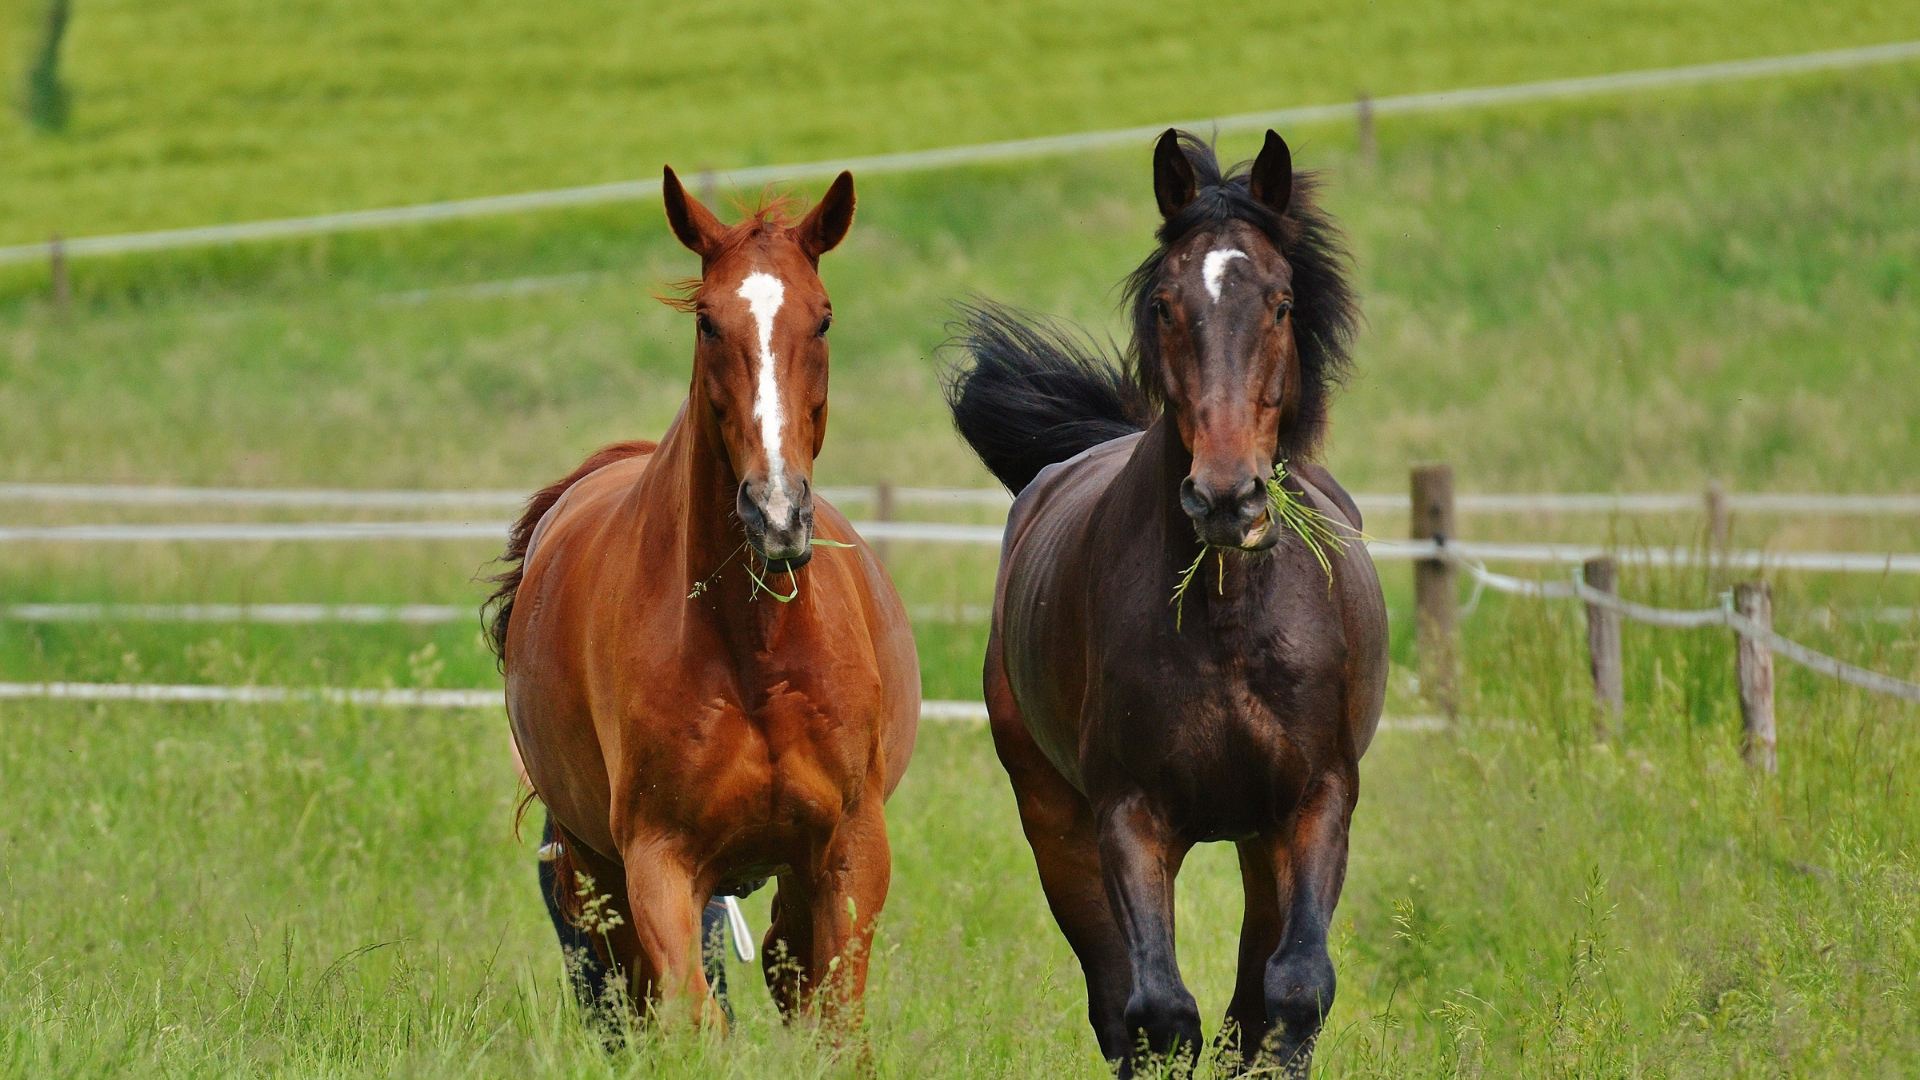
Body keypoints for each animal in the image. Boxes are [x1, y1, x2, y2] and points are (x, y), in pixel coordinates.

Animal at [486, 166, 920, 1027]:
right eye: (708, 323)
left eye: (823, 319)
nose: (776, 512)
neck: (755, 651)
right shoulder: (659, 861)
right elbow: (692, 1017)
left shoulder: (850, 851)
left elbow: (833, 1020)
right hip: (598, 871)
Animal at [944, 130, 1388, 1076]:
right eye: (1164, 304)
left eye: (1282, 303)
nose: (1225, 497)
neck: (1228, 625)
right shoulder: (1129, 815)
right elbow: (1157, 1012)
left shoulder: (1316, 801)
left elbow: (1293, 992)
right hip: (1056, 823)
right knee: (1120, 1003)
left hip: (1260, 839)